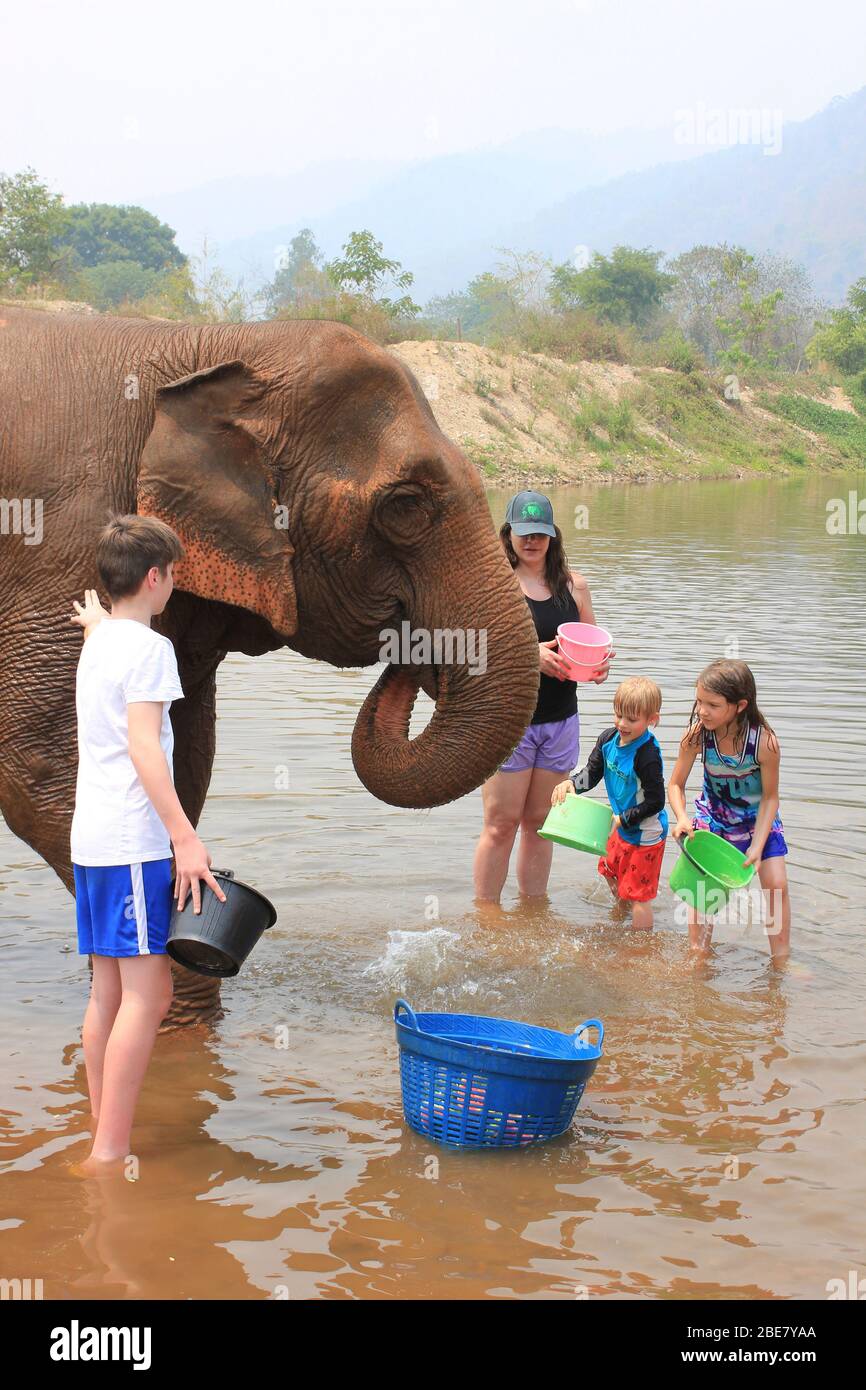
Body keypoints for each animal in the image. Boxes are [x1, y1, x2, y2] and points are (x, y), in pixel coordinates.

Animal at [0, 305, 540, 1022]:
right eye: (405, 505)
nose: (410, 652)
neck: (211, 344)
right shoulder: (63, 548)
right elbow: (43, 769)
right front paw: (179, 1009)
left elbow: (185, 762)